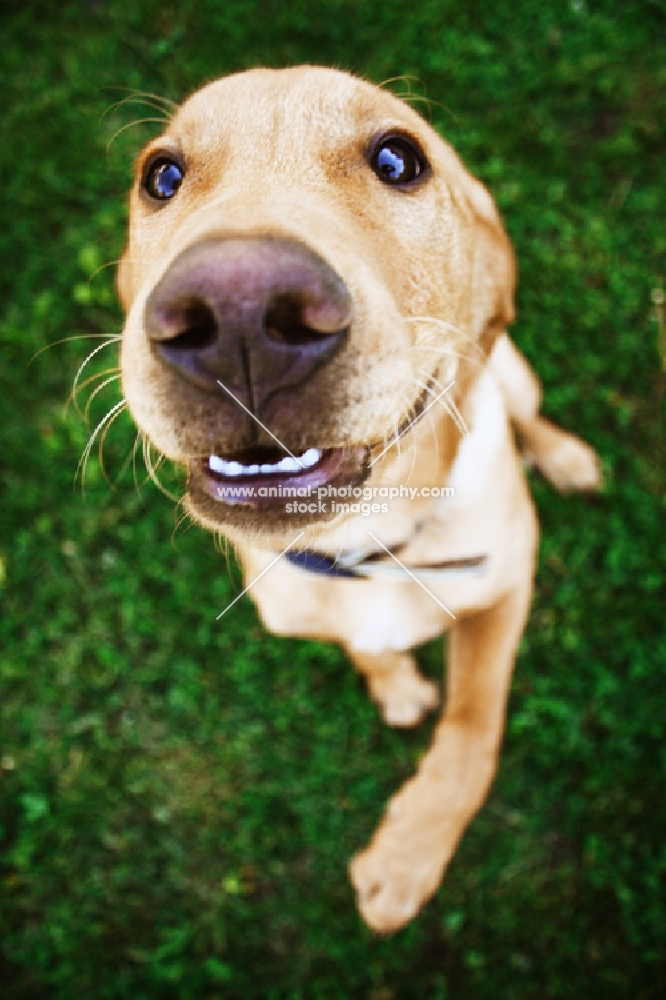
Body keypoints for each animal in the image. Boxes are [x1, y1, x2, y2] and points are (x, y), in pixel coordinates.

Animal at [116, 66, 600, 932]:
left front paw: (405, 860)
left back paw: (566, 456)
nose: (239, 312)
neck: (369, 544)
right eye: (161, 176)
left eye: (399, 159)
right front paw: (397, 685)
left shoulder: (505, 590)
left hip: (513, 370)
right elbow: (367, 649)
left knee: (528, 412)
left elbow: (474, 731)